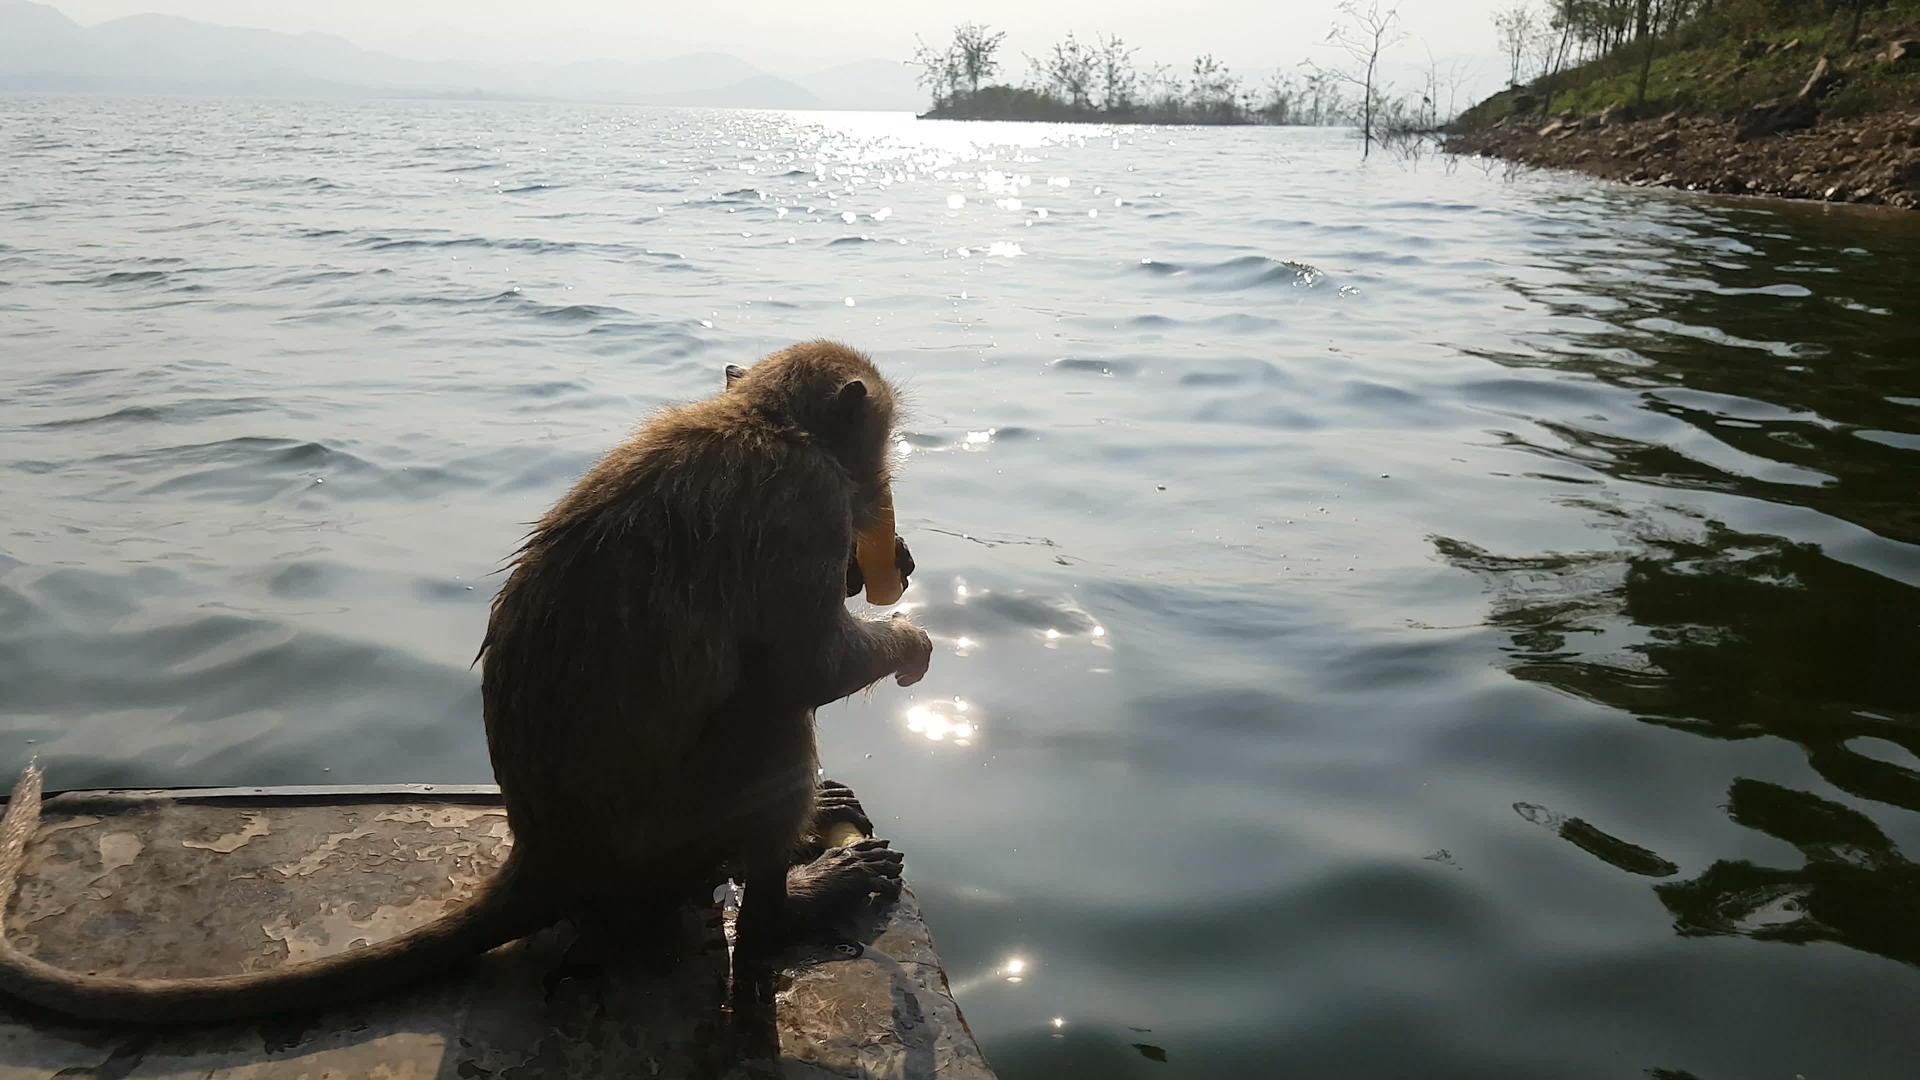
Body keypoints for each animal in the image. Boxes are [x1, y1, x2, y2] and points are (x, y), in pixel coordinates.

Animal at [0, 340, 933, 1022]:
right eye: (878, 467)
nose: (895, 552)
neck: (765, 423)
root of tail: (546, 858)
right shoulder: (805, 507)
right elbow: (807, 665)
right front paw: (908, 639)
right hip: (669, 839)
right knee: (770, 713)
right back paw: (790, 907)